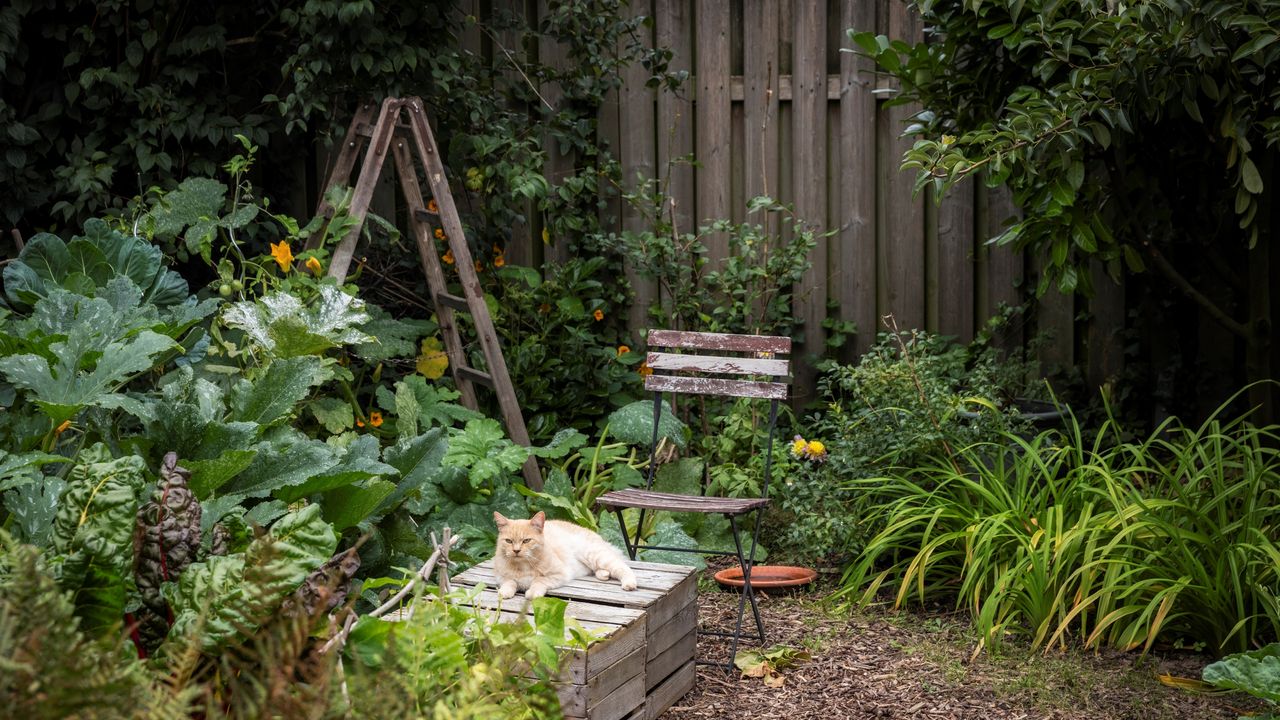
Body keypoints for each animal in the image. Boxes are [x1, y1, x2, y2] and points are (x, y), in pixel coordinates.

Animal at [496, 509, 645, 599]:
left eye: (526, 540)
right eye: (508, 541)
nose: (516, 551)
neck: (524, 565)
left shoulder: (559, 575)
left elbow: (539, 580)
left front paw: (532, 592)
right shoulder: (501, 577)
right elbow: (510, 582)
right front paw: (505, 591)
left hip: (595, 555)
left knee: (622, 567)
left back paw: (629, 583)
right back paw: (604, 574)